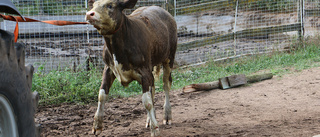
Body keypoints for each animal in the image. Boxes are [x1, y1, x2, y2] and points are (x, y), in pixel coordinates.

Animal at [85, 0, 178, 136]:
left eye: (110, 5)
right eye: (94, 5)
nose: (89, 14)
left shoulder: (144, 72)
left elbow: (147, 102)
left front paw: (155, 129)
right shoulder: (108, 68)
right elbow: (102, 95)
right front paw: (97, 125)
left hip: (169, 58)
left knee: (166, 84)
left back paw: (167, 116)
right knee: (153, 89)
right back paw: (150, 119)